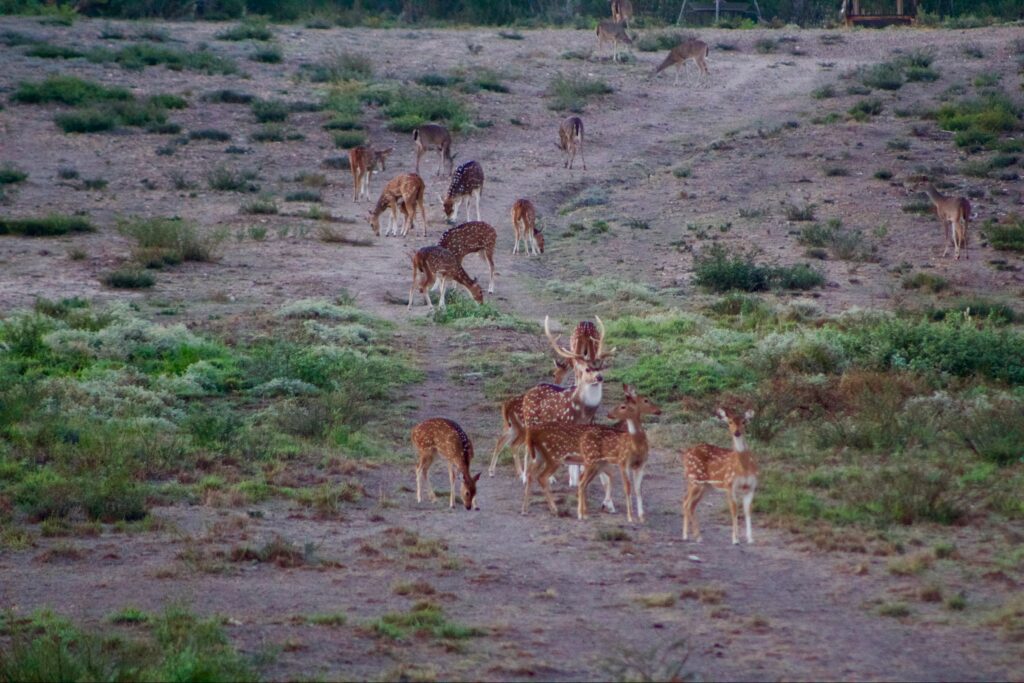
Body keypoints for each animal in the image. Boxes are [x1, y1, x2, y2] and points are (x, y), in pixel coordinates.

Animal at [524, 386, 660, 521]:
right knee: (540, 474)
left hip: (540, 456)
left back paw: (526, 507)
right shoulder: (605, 462)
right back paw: (554, 508)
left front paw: (601, 506)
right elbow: (602, 480)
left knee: (531, 472)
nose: (658, 410)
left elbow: (605, 479)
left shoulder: (603, 463)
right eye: (646, 400)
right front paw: (604, 507)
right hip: (554, 456)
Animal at [681, 408, 759, 545]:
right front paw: (735, 539)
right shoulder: (729, 484)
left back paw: (688, 535)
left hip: (705, 485)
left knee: (688, 503)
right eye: (730, 421)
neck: (744, 468)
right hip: (695, 479)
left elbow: (748, 511)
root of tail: (686, 453)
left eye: (744, 422)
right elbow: (734, 510)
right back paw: (696, 536)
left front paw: (750, 539)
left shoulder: (750, 487)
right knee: (687, 503)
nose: (736, 432)